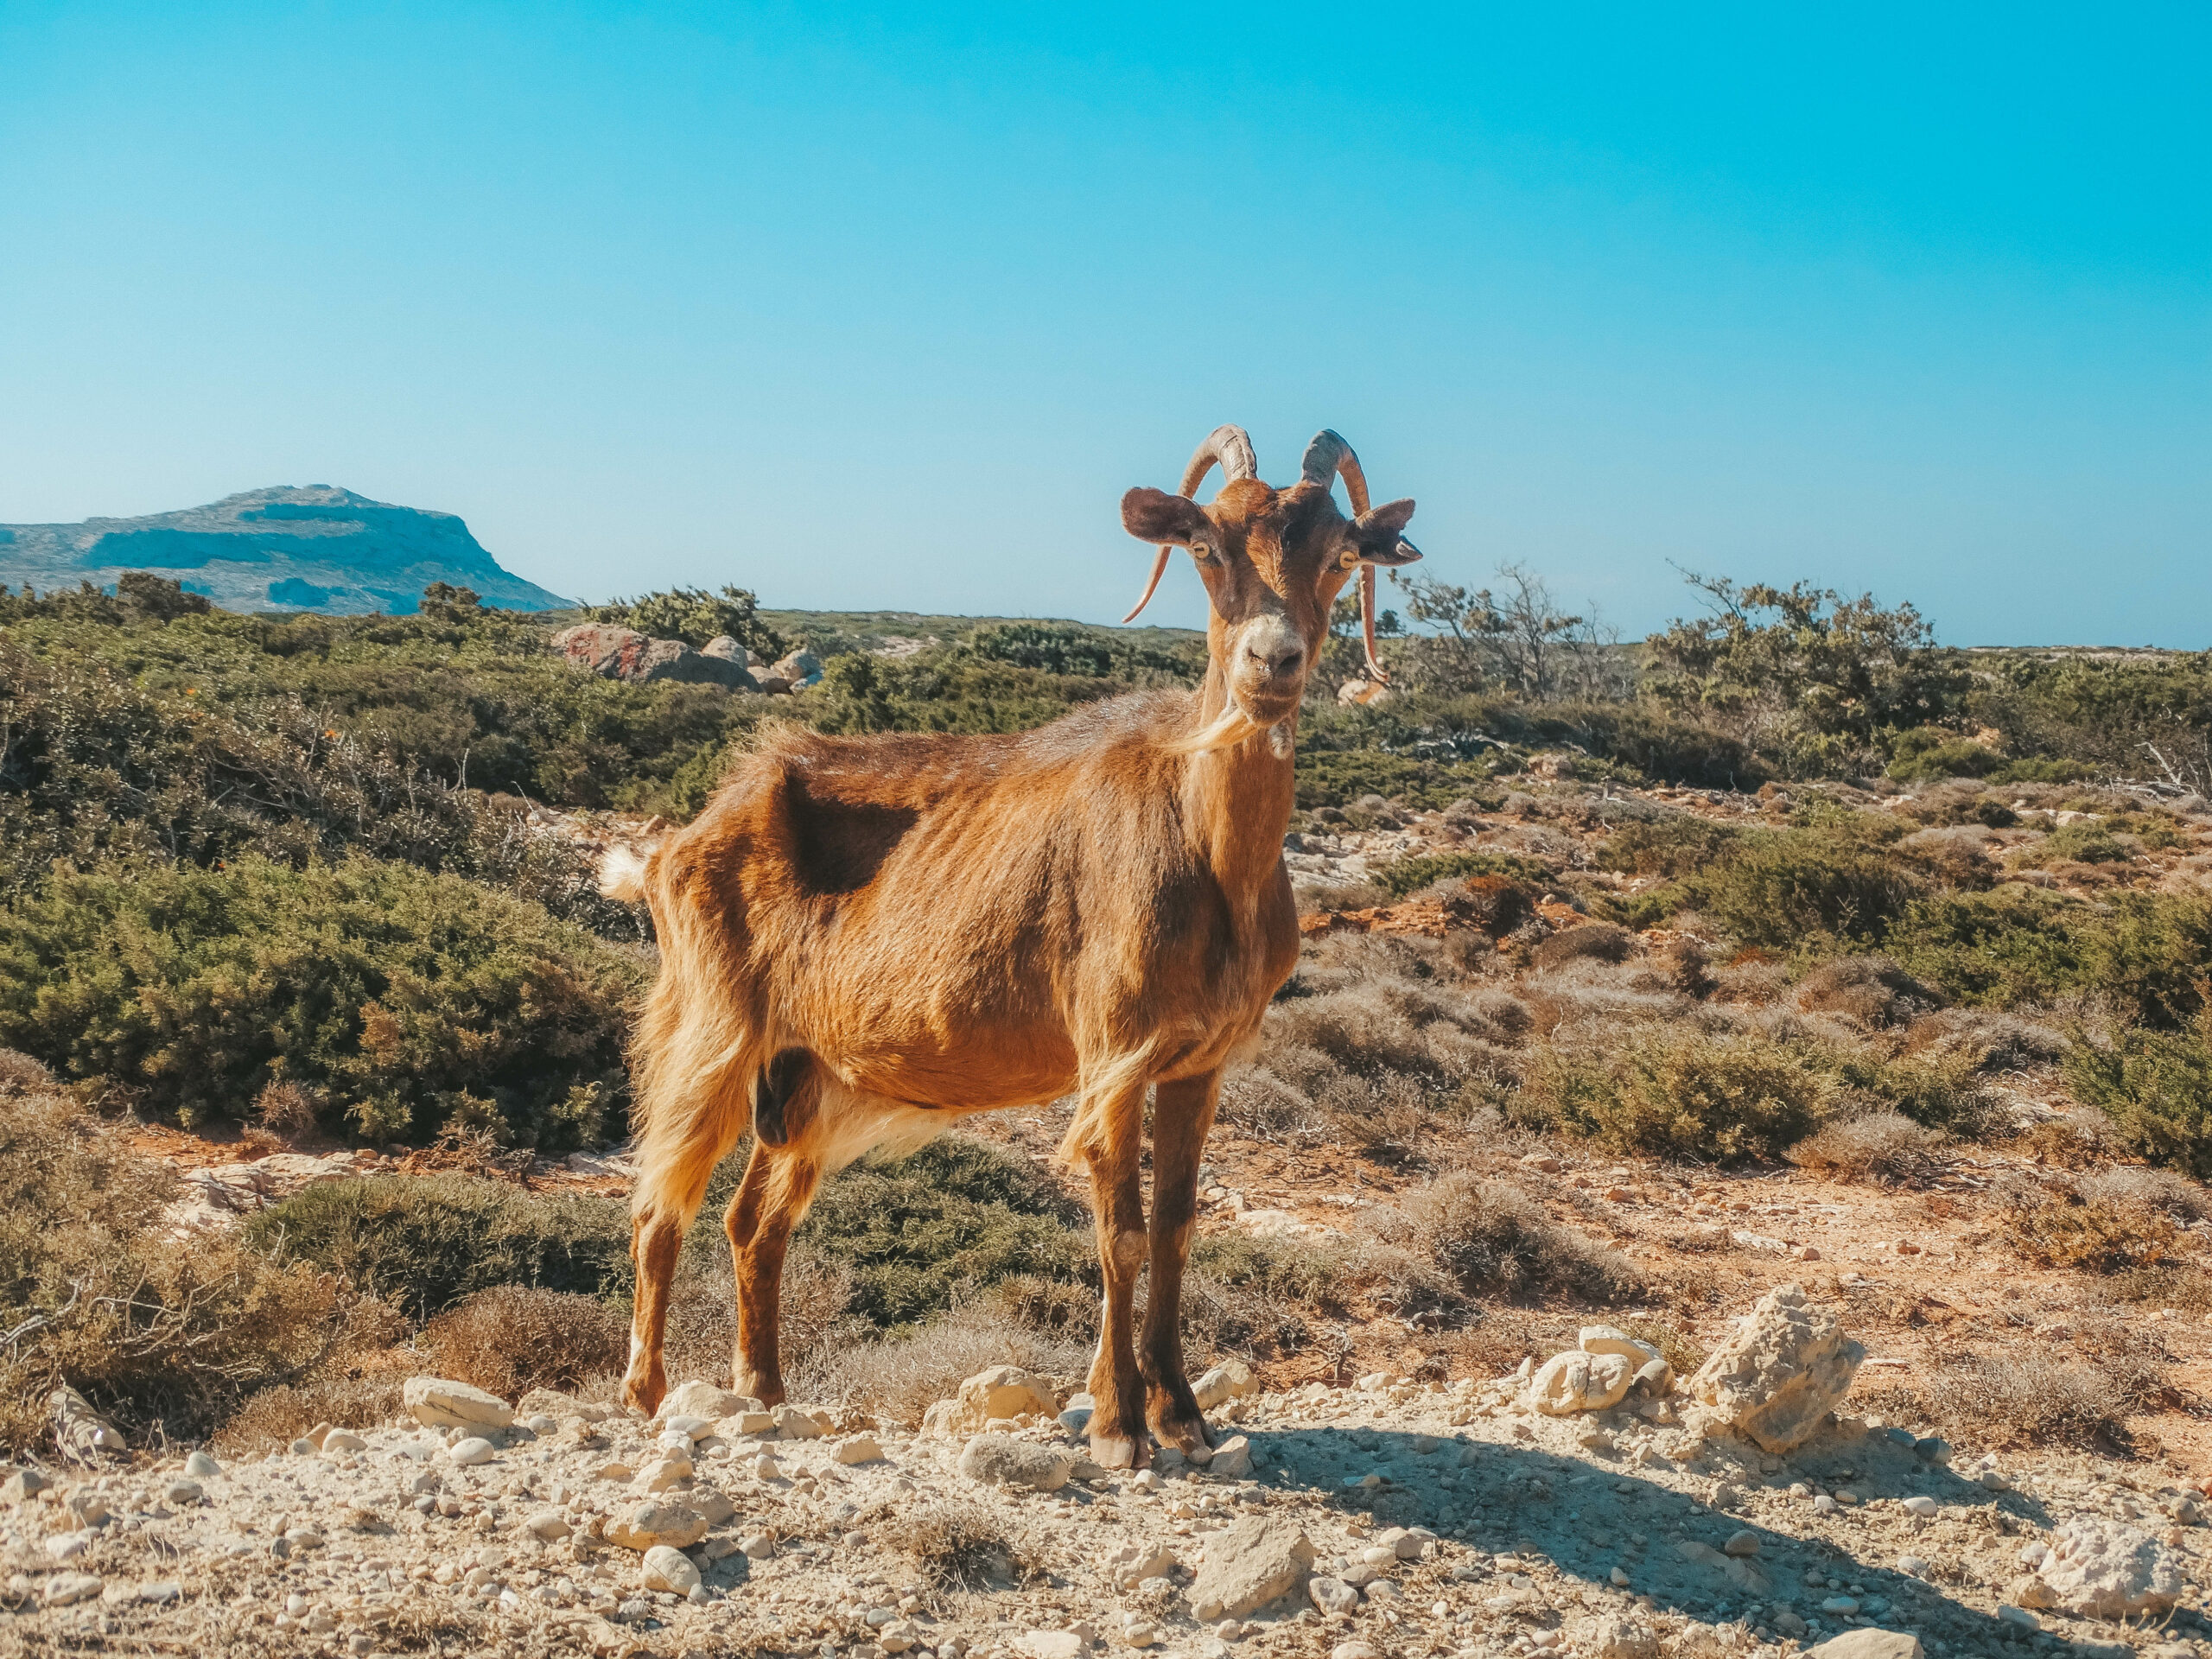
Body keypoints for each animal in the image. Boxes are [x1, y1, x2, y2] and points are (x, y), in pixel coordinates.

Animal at [606, 429, 1424, 1468]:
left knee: (756, 1220)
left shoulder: (1199, 1061)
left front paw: (1183, 1415)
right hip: (714, 1024)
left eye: (1339, 555)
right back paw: (645, 1394)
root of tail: (685, 834)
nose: (1271, 659)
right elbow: (1120, 1232)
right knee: (656, 1198)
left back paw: (763, 1389)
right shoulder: (1113, 1049)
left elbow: (1175, 1227)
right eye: (1207, 548)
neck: (1206, 845)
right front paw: (1119, 1427)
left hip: (813, 1071)